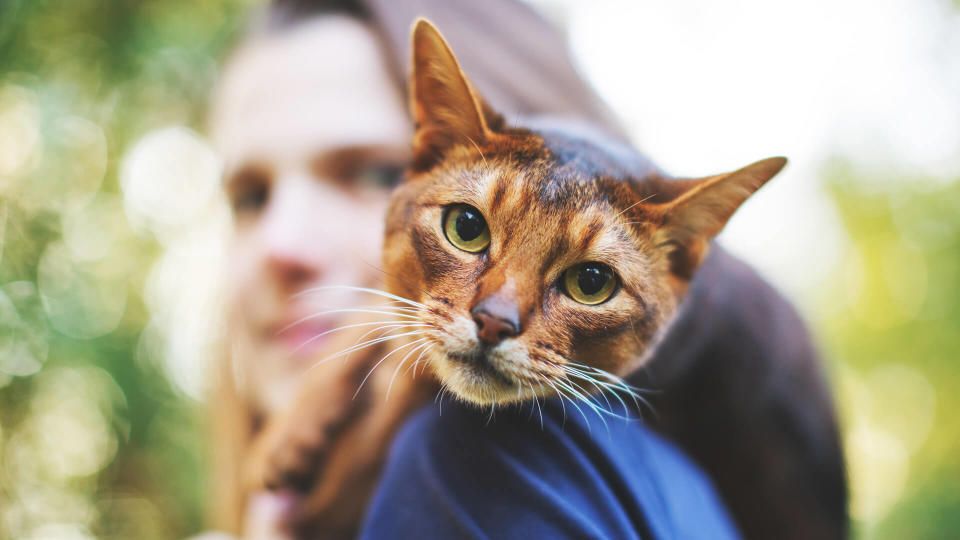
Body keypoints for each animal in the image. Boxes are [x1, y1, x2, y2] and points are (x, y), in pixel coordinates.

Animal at [248, 17, 848, 540]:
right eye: (465, 228)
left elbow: (384, 433)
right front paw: (287, 437)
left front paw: (322, 499)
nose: (493, 323)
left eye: (592, 282)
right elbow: (374, 317)